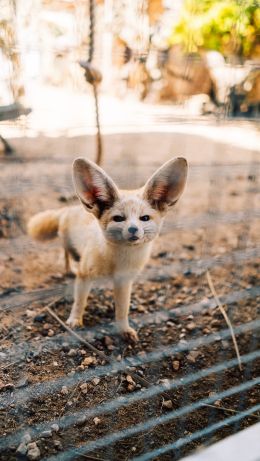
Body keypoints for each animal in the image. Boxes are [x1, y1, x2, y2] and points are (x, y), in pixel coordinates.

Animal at [27, 156, 187, 340]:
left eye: (144, 218)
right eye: (118, 218)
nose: (133, 229)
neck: (117, 261)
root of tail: (70, 208)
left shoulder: (124, 281)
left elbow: (123, 309)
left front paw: (124, 329)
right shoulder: (85, 276)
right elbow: (79, 302)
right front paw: (75, 320)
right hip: (69, 246)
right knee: (67, 254)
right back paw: (70, 268)